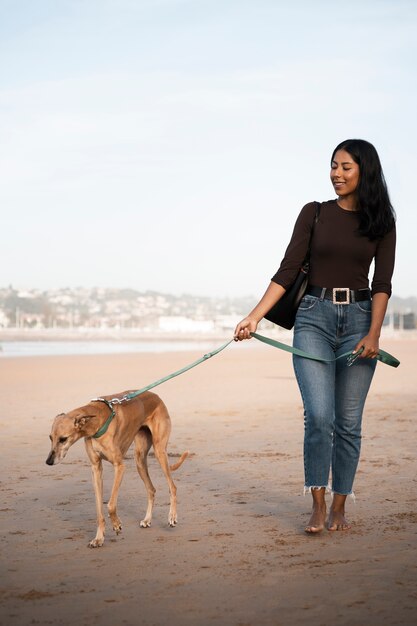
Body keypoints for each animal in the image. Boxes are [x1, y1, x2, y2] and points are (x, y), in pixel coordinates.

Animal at [45, 390, 187, 544]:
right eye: (50, 438)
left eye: (63, 439)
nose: (48, 462)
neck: (97, 421)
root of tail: (156, 396)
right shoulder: (96, 468)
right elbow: (99, 510)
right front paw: (99, 538)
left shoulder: (119, 466)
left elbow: (111, 504)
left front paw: (116, 524)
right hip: (139, 460)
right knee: (151, 489)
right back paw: (147, 519)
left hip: (160, 451)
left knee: (172, 487)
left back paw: (172, 517)